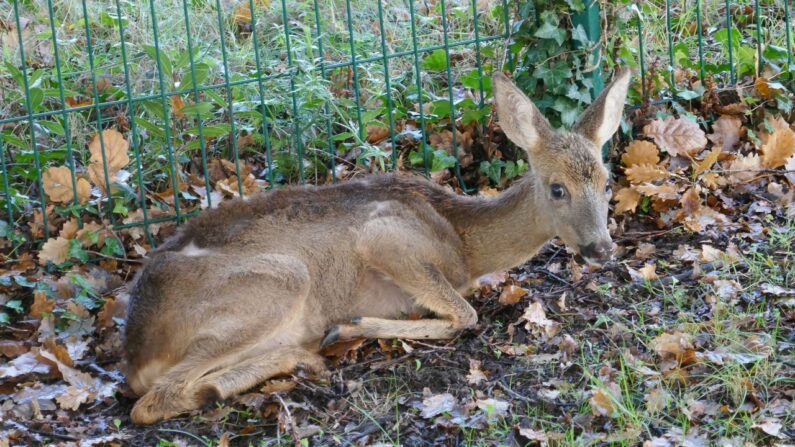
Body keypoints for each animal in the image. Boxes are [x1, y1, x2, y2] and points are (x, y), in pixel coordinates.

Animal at [126, 69, 636, 424]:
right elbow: (465, 314)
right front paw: (349, 325)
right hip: (280, 278)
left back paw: (299, 358)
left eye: (607, 182)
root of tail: (134, 347)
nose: (602, 249)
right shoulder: (383, 234)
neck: (463, 240)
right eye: (556, 189)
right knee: (149, 401)